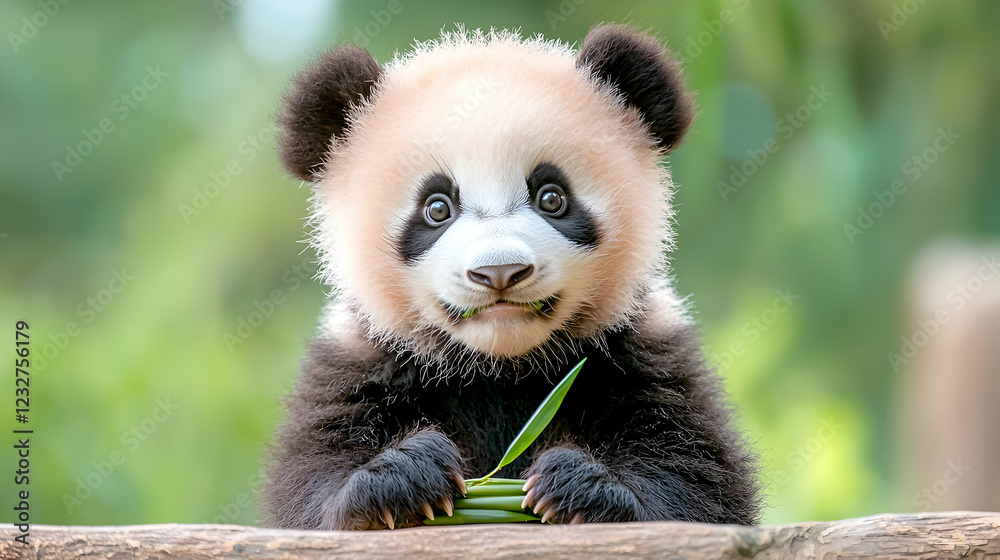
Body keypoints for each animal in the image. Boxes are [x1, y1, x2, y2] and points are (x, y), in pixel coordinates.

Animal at [263, 24, 759, 530]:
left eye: (552, 197)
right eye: (437, 208)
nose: (499, 271)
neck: (502, 366)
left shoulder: (643, 350)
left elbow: (697, 479)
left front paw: (578, 486)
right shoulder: (362, 360)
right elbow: (314, 480)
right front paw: (403, 475)